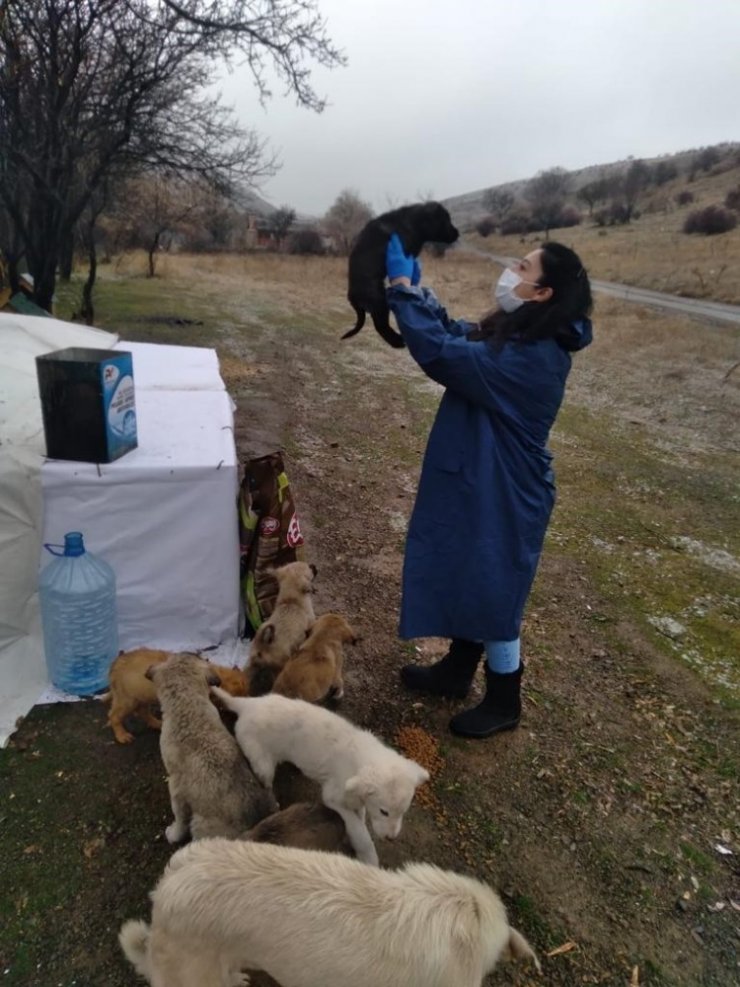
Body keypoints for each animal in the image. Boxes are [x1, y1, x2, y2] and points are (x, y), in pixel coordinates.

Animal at [208, 688, 428, 864]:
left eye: (403, 812)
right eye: (384, 812)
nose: (391, 838)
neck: (362, 759)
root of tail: (249, 705)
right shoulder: (333, 797)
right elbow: (359, 830)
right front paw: (369, 857)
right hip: (262, 762)